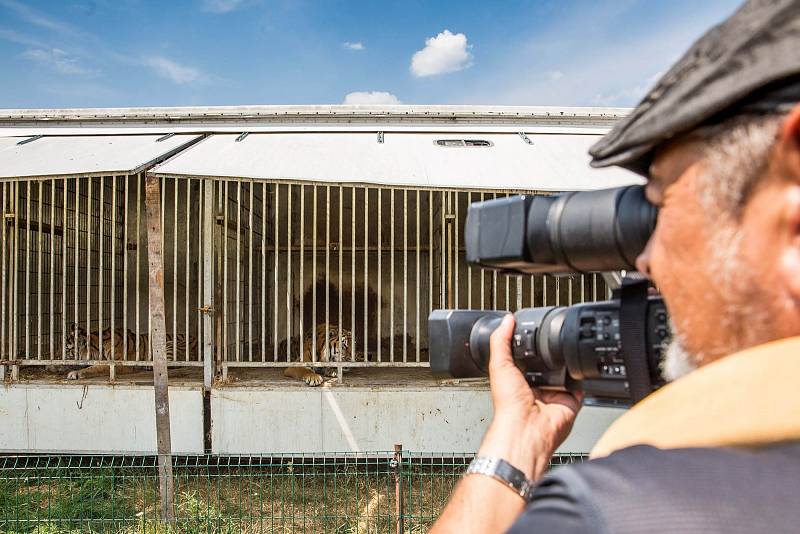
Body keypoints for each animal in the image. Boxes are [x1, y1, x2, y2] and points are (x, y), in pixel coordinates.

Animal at [60, 322, 196, 382]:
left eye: (67, 350)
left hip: (169, 345)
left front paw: (75, 373)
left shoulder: (117, 363)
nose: (59, 359)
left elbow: (94, 368)